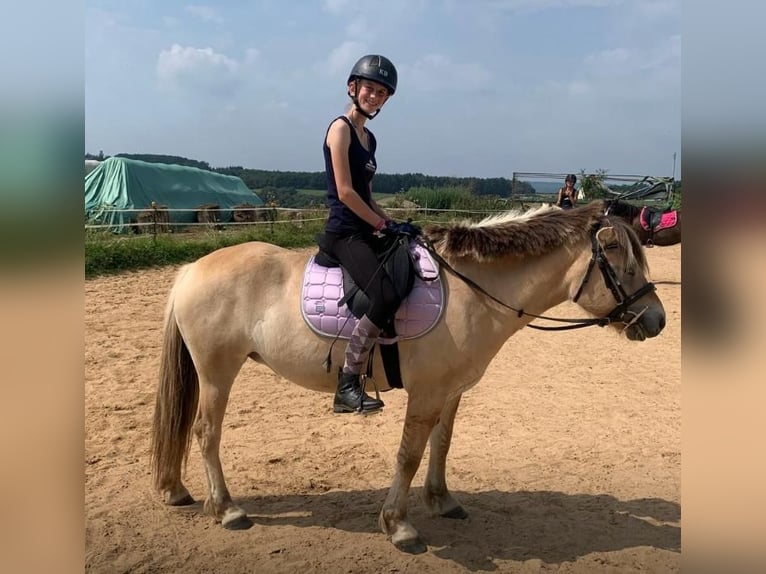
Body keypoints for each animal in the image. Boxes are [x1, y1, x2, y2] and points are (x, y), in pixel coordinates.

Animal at [150, 200, 664, 556]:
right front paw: (399, 525)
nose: (657, 320)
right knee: (206, 432)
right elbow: (409, 455)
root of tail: (193, 268)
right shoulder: (426, 393)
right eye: (622, 262)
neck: (474, 290)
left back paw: (178, 490)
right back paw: (228, 509)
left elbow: (443, 444)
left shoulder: (451, 391)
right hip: (217, 372)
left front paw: (442, 500)